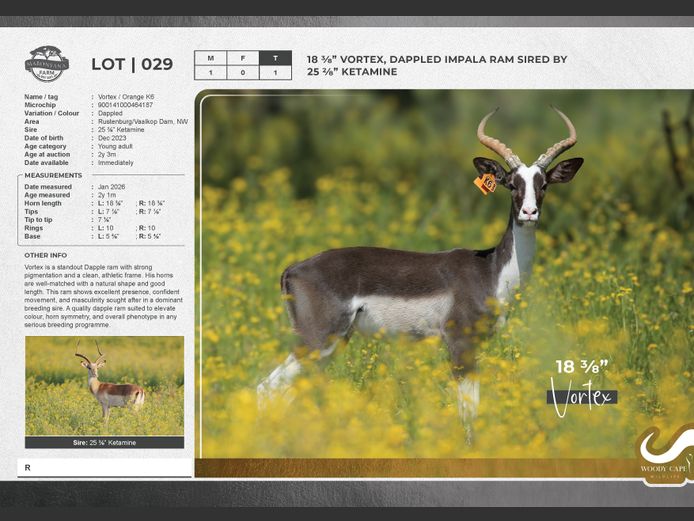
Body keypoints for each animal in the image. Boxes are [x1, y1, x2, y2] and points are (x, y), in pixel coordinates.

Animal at [257, 106, 583, 441]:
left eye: (543, 184)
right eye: (512, 184)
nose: (529, 213)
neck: (491, 271)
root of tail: (292, 270)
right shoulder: (459, 342)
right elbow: (468, 409)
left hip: (330, 344)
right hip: (317, 339)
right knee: (267, 388)